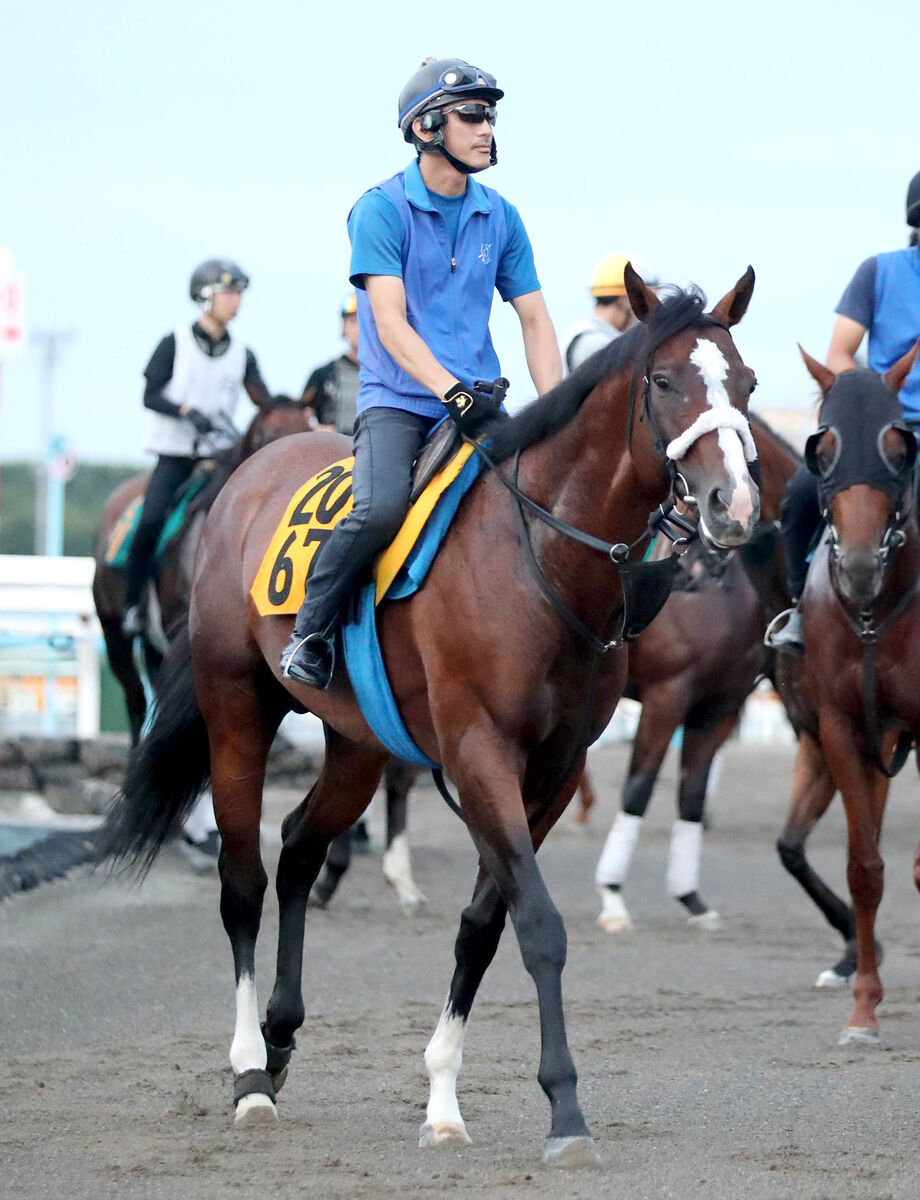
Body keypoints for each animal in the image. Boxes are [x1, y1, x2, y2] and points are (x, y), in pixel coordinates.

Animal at [597, 417, 796, 931]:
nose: (700, 562)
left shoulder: (720, 705)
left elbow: (692, 794)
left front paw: (691, 898)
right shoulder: (667, 696)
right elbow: (638, 789)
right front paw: (611, 894)